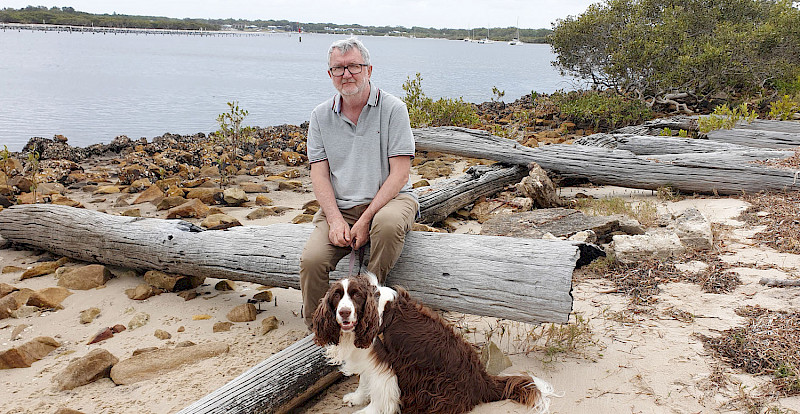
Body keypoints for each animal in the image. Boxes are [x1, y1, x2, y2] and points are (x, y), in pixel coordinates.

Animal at [310, 274, 552, 414]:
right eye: (337, 296)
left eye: (356, 296)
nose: (344, 312)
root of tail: (483, 382)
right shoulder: (369, 356)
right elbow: (364, 380)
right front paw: (357, 398)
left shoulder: (385, 363)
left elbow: (381, 393)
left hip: (437, 387)